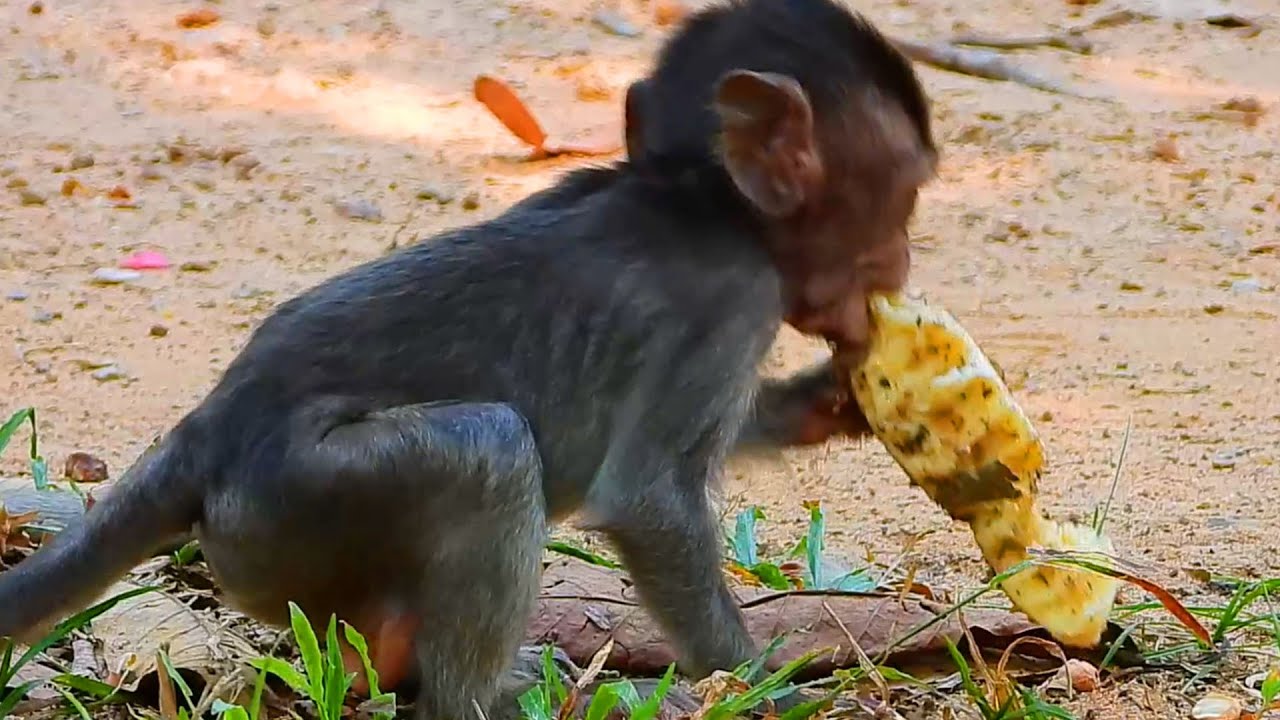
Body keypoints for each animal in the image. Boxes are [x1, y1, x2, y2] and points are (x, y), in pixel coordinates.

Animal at [0, 0, 937, 717]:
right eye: (906, 198)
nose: (900, 264)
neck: (702, 198)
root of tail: (209, 429)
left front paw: (827, 403)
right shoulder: (730, 302)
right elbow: (648, 500)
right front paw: (758, 683)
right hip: (291, 506)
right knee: (488, 450)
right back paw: (484, 697)